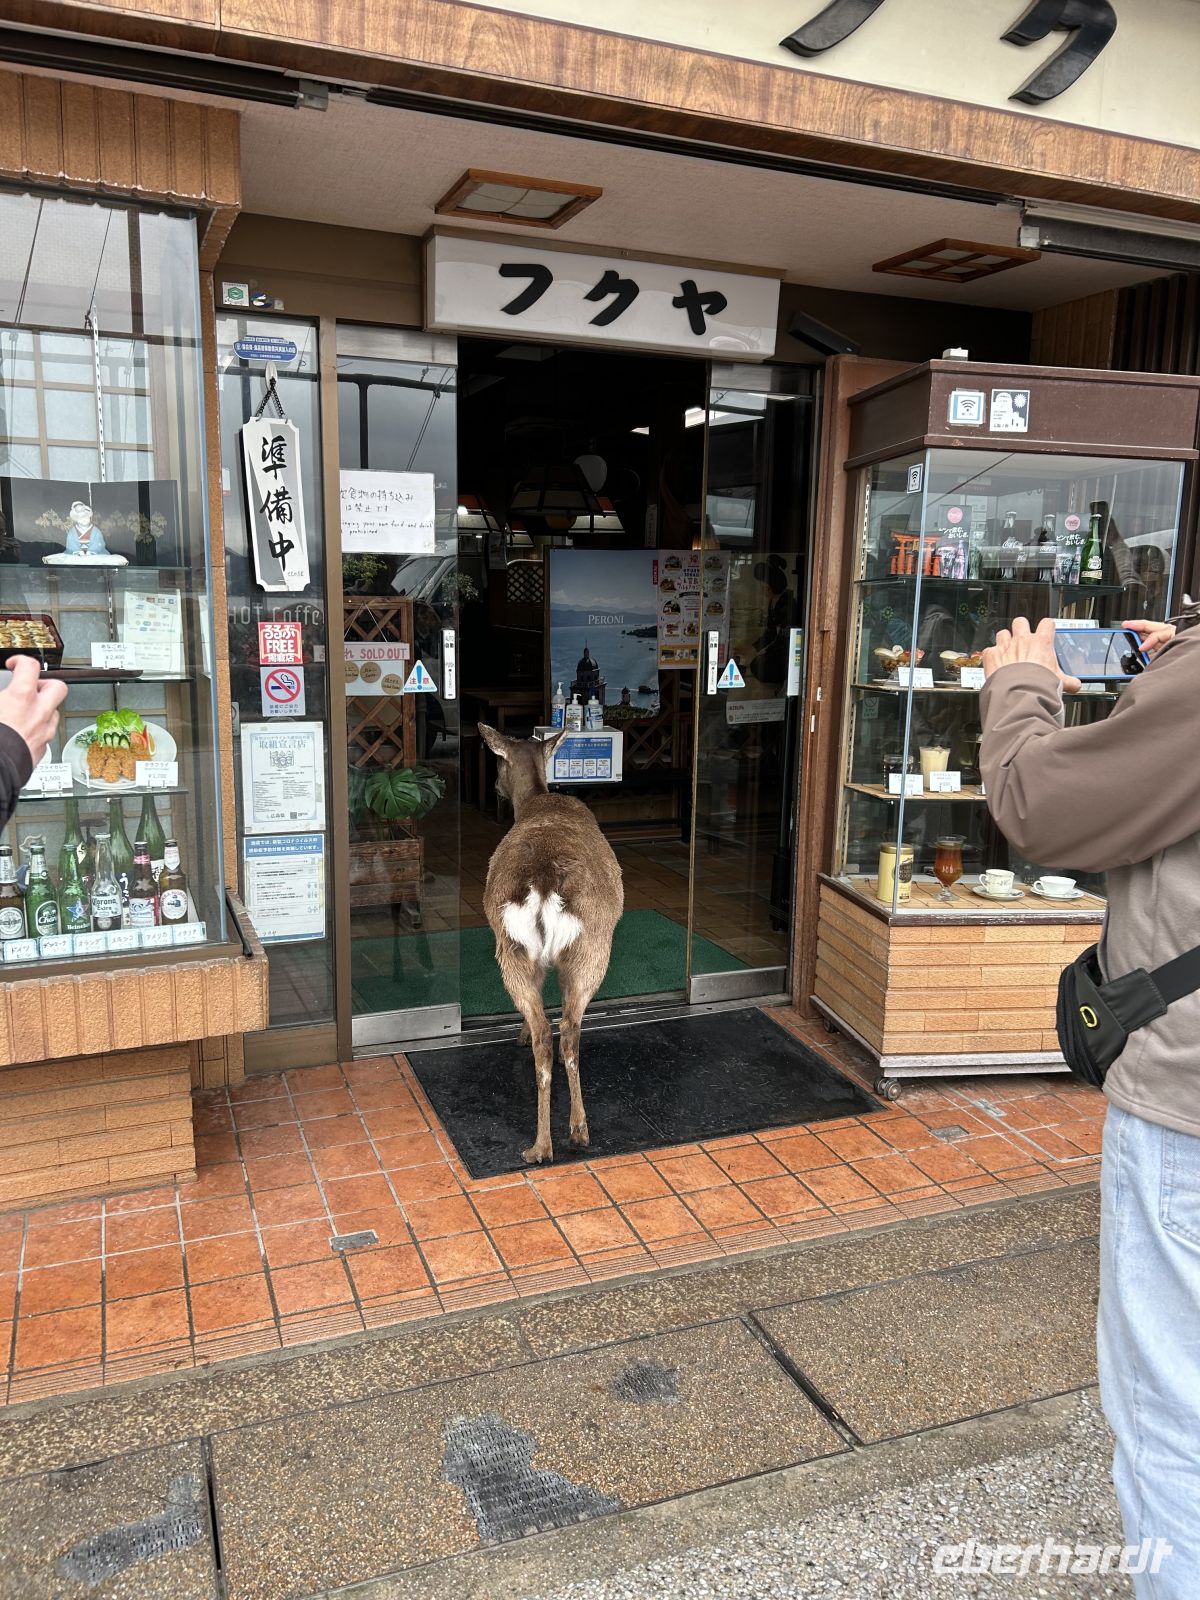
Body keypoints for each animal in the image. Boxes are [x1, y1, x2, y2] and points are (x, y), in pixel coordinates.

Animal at [478, 724, 623, 1165]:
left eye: (498, 764)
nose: (495, 787)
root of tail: (543, 885)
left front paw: (519, 1033)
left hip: (513, 947)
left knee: (550, 1031)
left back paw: (544, 1143)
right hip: (590, 949)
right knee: (568, 1029)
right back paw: (573, 1131)